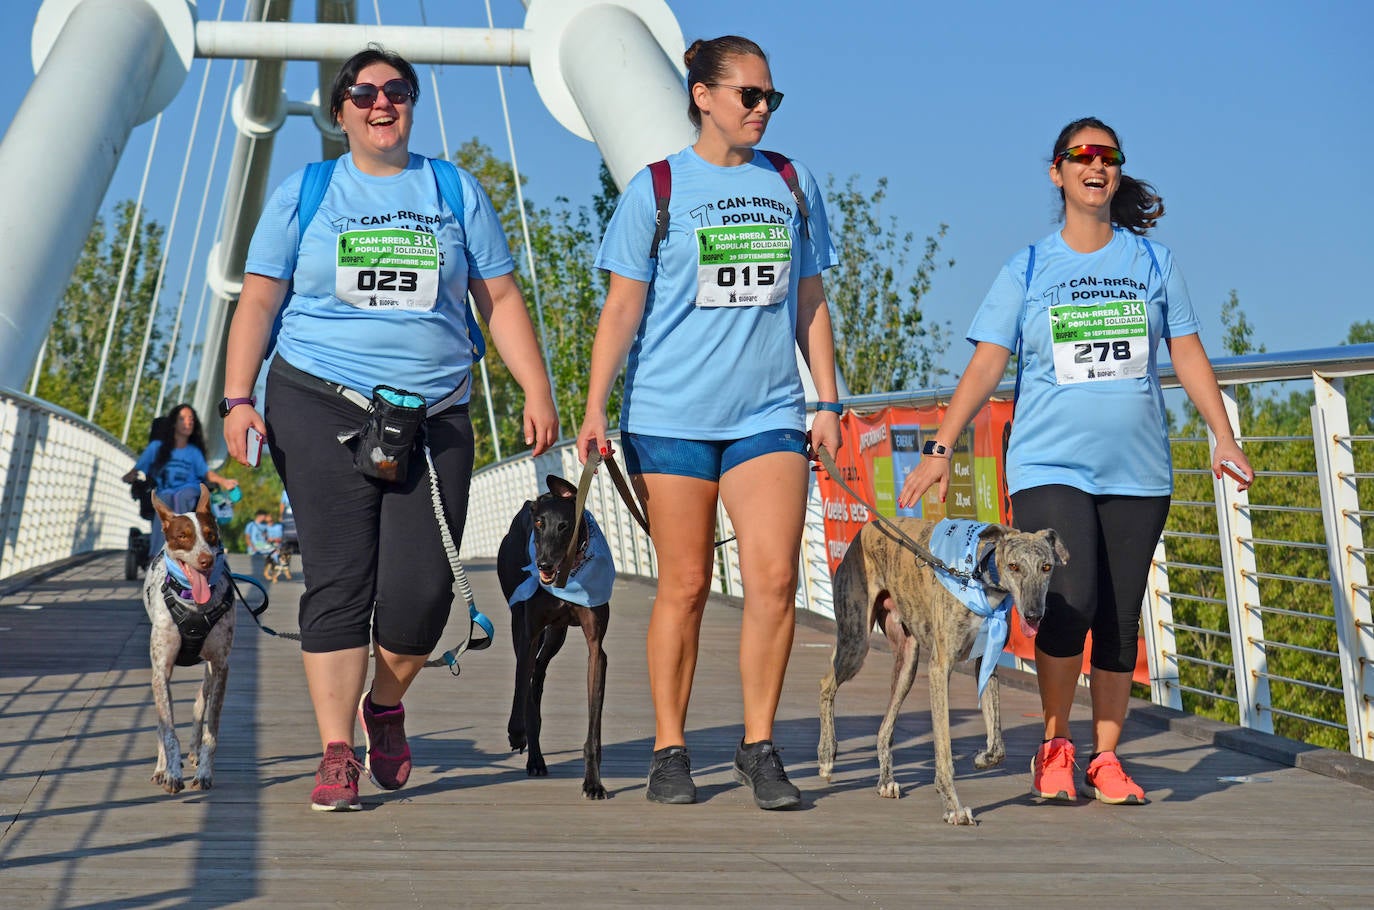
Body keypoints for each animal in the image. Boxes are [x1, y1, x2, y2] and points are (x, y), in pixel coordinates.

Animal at [142, 489, 236, 797]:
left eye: (211, 535)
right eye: (183, 536)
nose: (206, 560)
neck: (193, 603)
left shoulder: (220, 667)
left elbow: (211, 729)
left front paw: (205, 772)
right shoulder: (161, 670)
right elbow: (168, 730)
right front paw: (171, 773)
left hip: (209, 670)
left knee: (199, 702)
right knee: (162, 725)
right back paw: (161, 768)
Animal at [494, 472, 612, 802]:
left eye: (565, 526)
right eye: (539, 524)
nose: (544, 564)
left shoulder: (596, 650)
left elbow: (594, 726)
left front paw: (593, 783)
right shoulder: (529, 632)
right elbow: (520, 683)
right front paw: (516, 731)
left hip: (557, 634)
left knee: (539, 672)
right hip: (519, 619)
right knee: (528, 675)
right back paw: (533, 755)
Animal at [818, 519, 1066, 824]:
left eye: (1046, 567)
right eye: (1014, 566)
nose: (1033, 615)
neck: (978, 576)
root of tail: (866, 528)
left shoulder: (987, 661)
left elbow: (998, 745)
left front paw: (983, 758)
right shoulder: (940, 667)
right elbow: (944, 748)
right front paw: (953, 807)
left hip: (907, 662)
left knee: (884, 727)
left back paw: (886, 781)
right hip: (855, 641)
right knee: (826, 683)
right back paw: (826, 755)